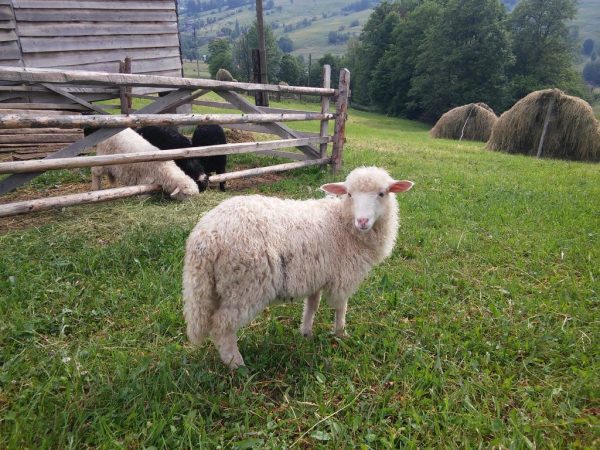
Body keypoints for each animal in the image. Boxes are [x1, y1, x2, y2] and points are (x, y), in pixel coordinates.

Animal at [183, 167, 414, 368]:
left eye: (382, 193)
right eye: (349, 194)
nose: (363, 221)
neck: (342, 222)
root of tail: (206, 237)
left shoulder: (317, 275)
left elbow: (312, 305)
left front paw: (306, 333)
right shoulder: (343, 277)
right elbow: (341, 307)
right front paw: (341, 334)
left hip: (213, 287)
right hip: (245, 285)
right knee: (221, 326)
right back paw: (236, 364)